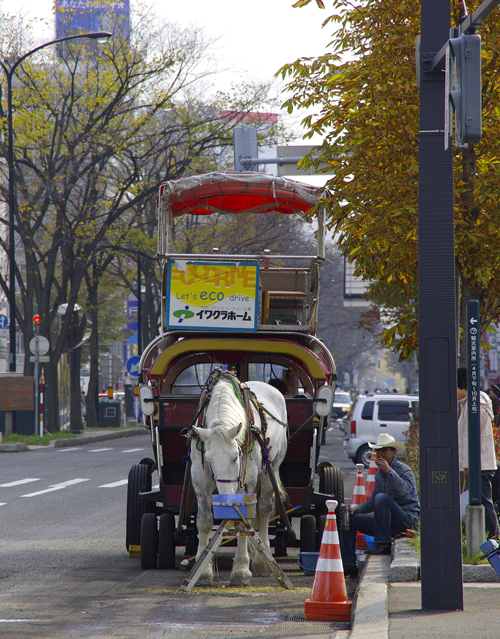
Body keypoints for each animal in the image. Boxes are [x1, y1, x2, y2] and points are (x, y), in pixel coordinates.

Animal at [189, 372, 288, 588]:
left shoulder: (247, 479)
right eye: (209, 459)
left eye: (236, 457)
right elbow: (204, 521)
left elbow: (243, 521)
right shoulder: (199, 477)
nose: (226, 498)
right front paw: (202, 569)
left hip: (272, 467)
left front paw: (241, 570)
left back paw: (261, 561)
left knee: (264, 508)